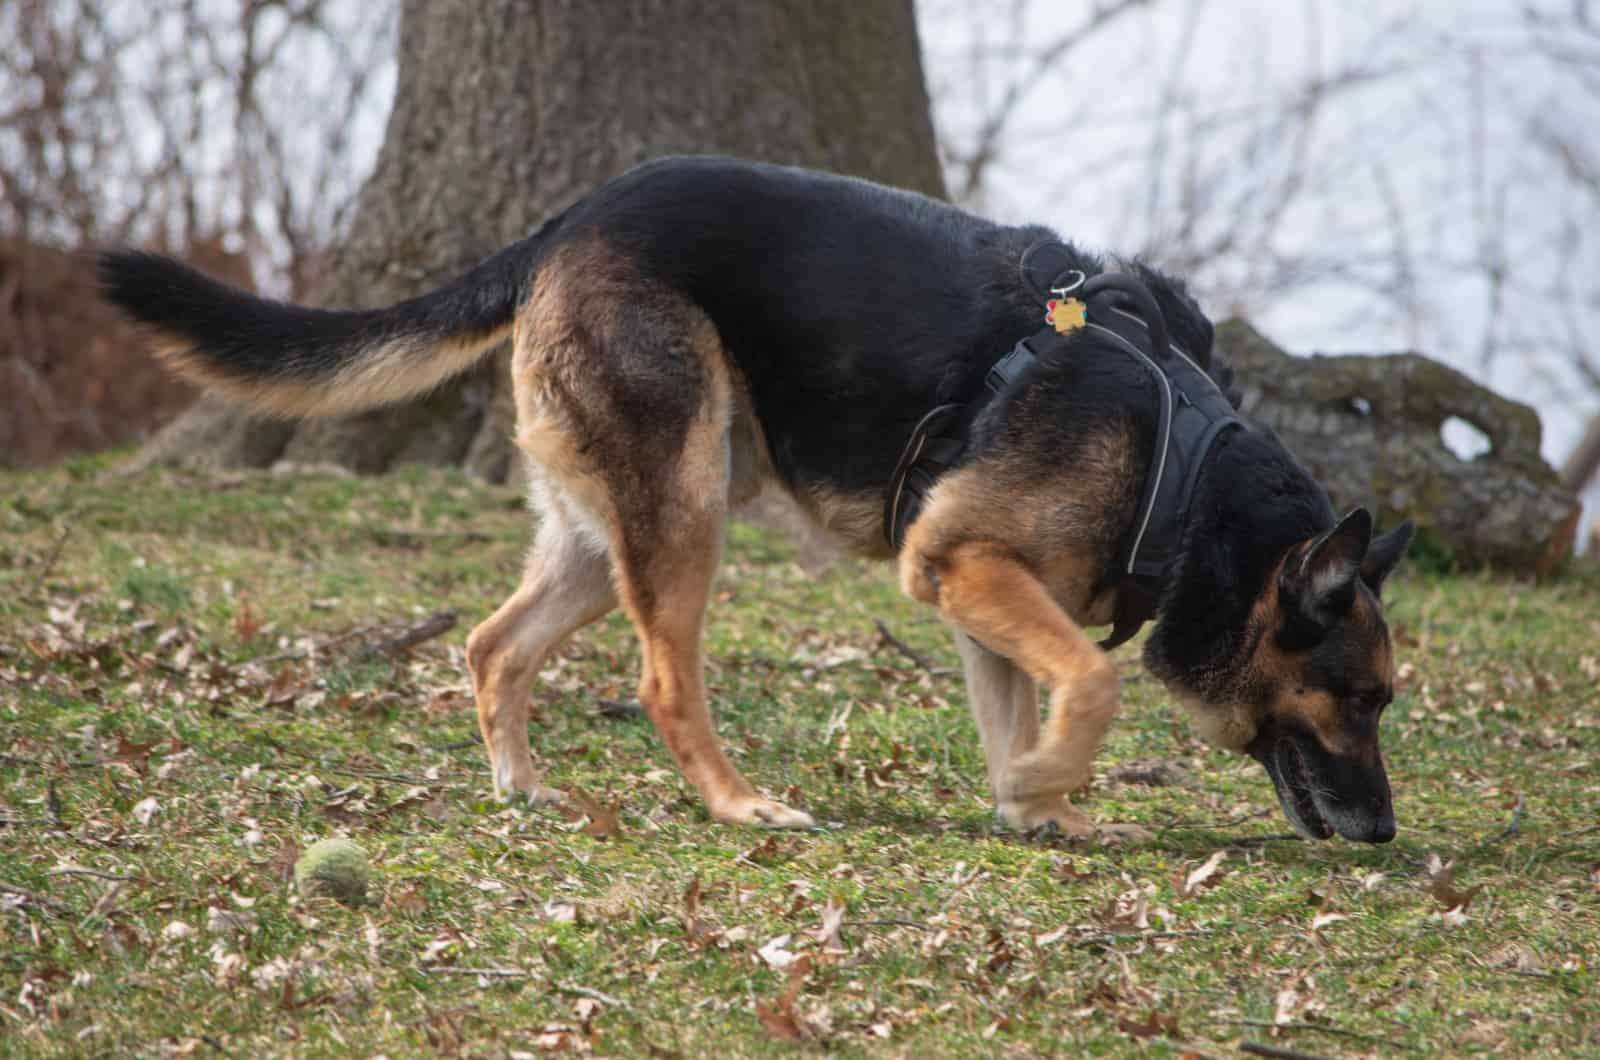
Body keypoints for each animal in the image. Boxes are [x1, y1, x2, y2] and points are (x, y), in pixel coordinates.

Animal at [100, 153, 1414, 845]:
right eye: (1359, 696)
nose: (1386, 832)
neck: (1184, 475)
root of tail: (572, 217)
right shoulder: (961, 564)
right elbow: (1087, 681)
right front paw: (1051, 779)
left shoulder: (973, 586)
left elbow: (1020, 709)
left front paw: (1031, 804)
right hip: (684, 512)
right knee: (660, 679)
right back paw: (739, 804)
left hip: (608, 527)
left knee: (490, 644)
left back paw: (520, 784)